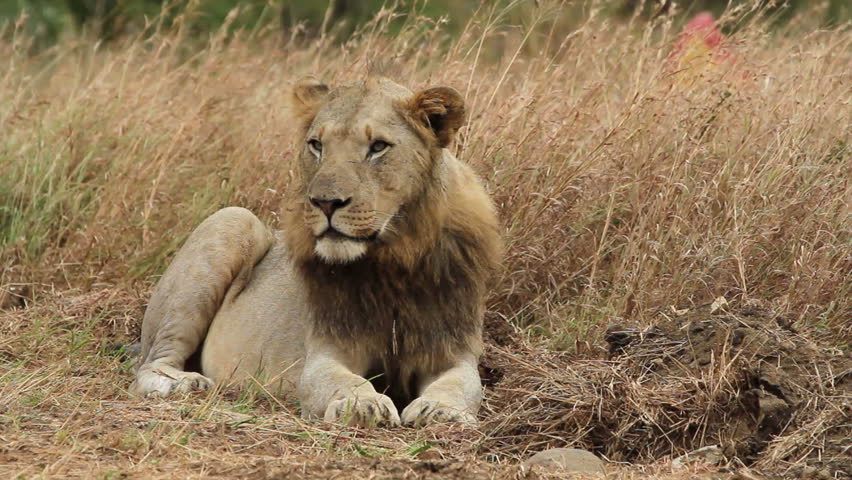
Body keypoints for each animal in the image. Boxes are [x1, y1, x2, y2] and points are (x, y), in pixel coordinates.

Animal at [130, 77, 501, 428]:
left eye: (378, 147)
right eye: (317, 145)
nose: (325, 202)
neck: (393, 260)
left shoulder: (452, 350)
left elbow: (461, 385)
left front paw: (441, 411)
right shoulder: (324, 351)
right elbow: (342, 381)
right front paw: (362, 405)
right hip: (233, 218)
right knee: (150, 364)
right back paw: (185, 383)